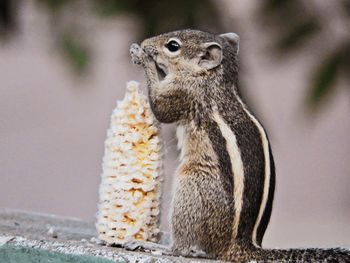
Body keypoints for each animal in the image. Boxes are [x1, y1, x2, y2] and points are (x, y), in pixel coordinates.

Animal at [129, 29, 350, 262]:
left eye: (172, 46)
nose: (145, 43)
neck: (214, 78)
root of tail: (240, 245)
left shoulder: (183, 92)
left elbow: (161, 108)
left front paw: (142, 57)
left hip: (192, 188)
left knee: (182, 248)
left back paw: (155, 245)